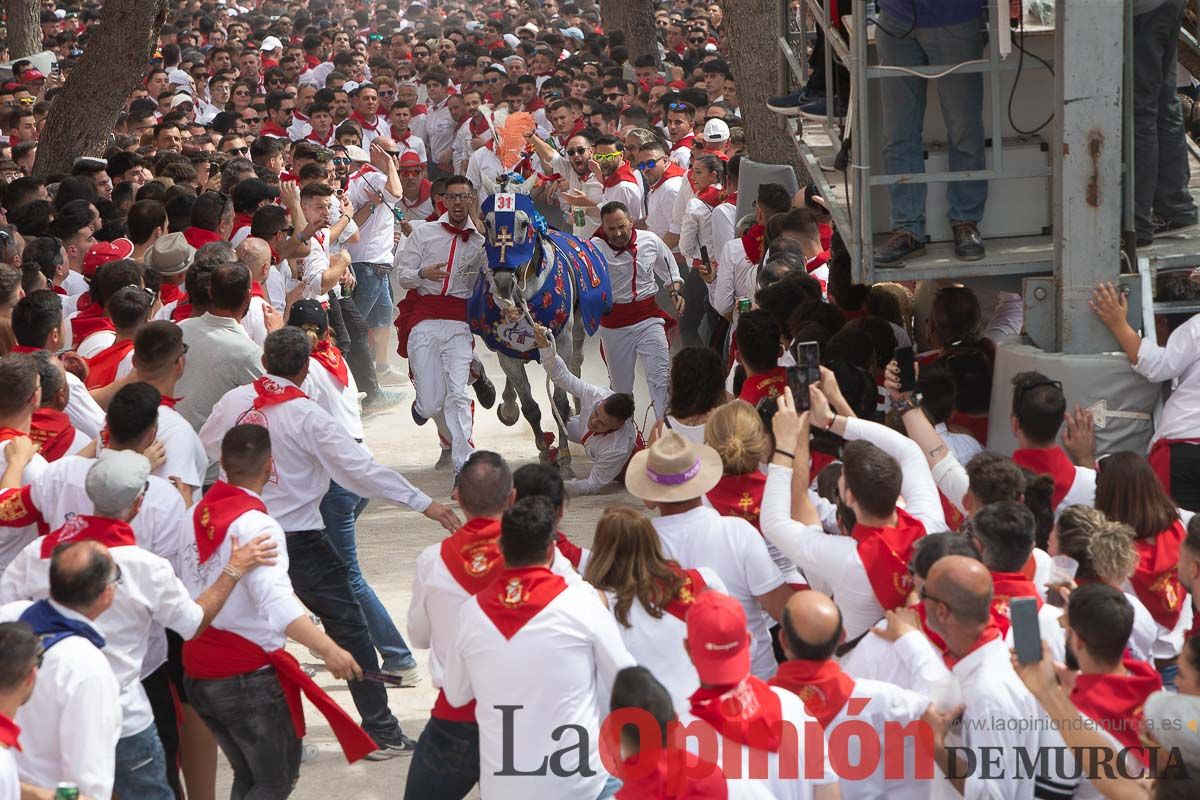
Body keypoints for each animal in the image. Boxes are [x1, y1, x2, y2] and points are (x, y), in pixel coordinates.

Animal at [468, 181, 614, 474]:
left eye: (524, 223)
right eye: (488, 222)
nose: (503, 280)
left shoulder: (562, 341)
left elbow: (559, 400)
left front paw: (566, 459)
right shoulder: (508, 350)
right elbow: (530, 407)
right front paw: (546, 453)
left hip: (579, 331)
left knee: (576, 367)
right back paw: (508, 406)